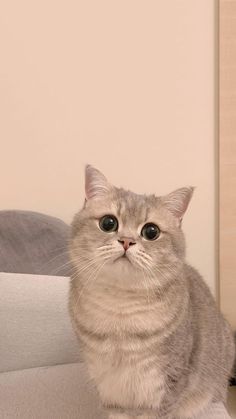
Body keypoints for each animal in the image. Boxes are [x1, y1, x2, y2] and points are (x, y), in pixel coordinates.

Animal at [68, 166, 234, 418]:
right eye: (108, 223)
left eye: (151, 231)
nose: (126, 241)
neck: (120, 307)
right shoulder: (108, 386)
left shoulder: (166, 383)